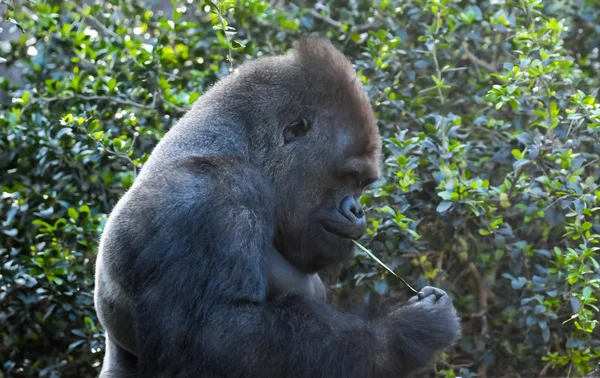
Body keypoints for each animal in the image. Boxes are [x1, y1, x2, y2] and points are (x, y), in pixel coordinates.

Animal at [95, 36, 460, 378]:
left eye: (362, 184)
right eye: (347, 176)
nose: (357, 211)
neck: (242, 147)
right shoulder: (212, 197)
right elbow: (212, 341)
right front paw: (405, 333)